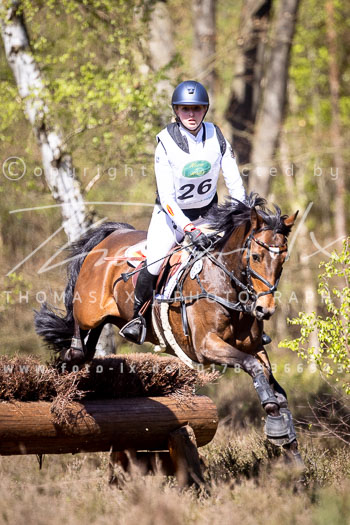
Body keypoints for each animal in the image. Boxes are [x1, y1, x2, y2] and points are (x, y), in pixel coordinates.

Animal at [34, 193, 300, 458]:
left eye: (283, 259)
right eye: (255, 256)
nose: (265, 309)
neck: (225, 285)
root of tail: (113, 235)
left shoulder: (254, 346)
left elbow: (274, 385)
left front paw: (290, 445)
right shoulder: (206, 346)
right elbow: (253, 367)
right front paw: (276, 423)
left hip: (107, 319)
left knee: (85, 353)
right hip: (88, 312)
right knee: (77, 344)